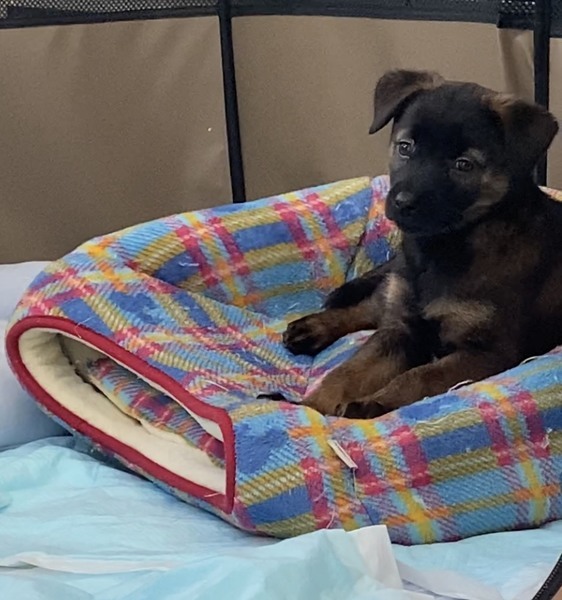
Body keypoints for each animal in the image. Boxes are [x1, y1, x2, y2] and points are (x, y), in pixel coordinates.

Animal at [282, 69, 561, 419]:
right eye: (405, 147)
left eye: (463, 164)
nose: (402, 203)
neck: (443, 248)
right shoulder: (401, 328)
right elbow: (347, 372)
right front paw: (310, 409)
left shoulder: (486, 353)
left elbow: (420, 376)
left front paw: (373, 403)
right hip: (397, 289)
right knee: (372, 305)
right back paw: (314, 328)